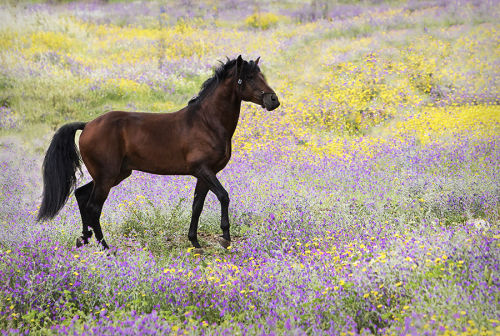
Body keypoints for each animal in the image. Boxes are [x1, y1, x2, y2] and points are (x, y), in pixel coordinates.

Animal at [37, 55, 280, 249]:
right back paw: (105, 247)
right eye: (249, 78)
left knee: (81, 196)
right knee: (94, 207)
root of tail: (87, 125)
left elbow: (197, 206)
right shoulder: (204, 170)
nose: (273, 100)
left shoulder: (204, 175)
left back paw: (84, 240)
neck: (207, 122)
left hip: (114, 175)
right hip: (107, 177)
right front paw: (225, 238)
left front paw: (195, 241)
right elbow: (223, 196)